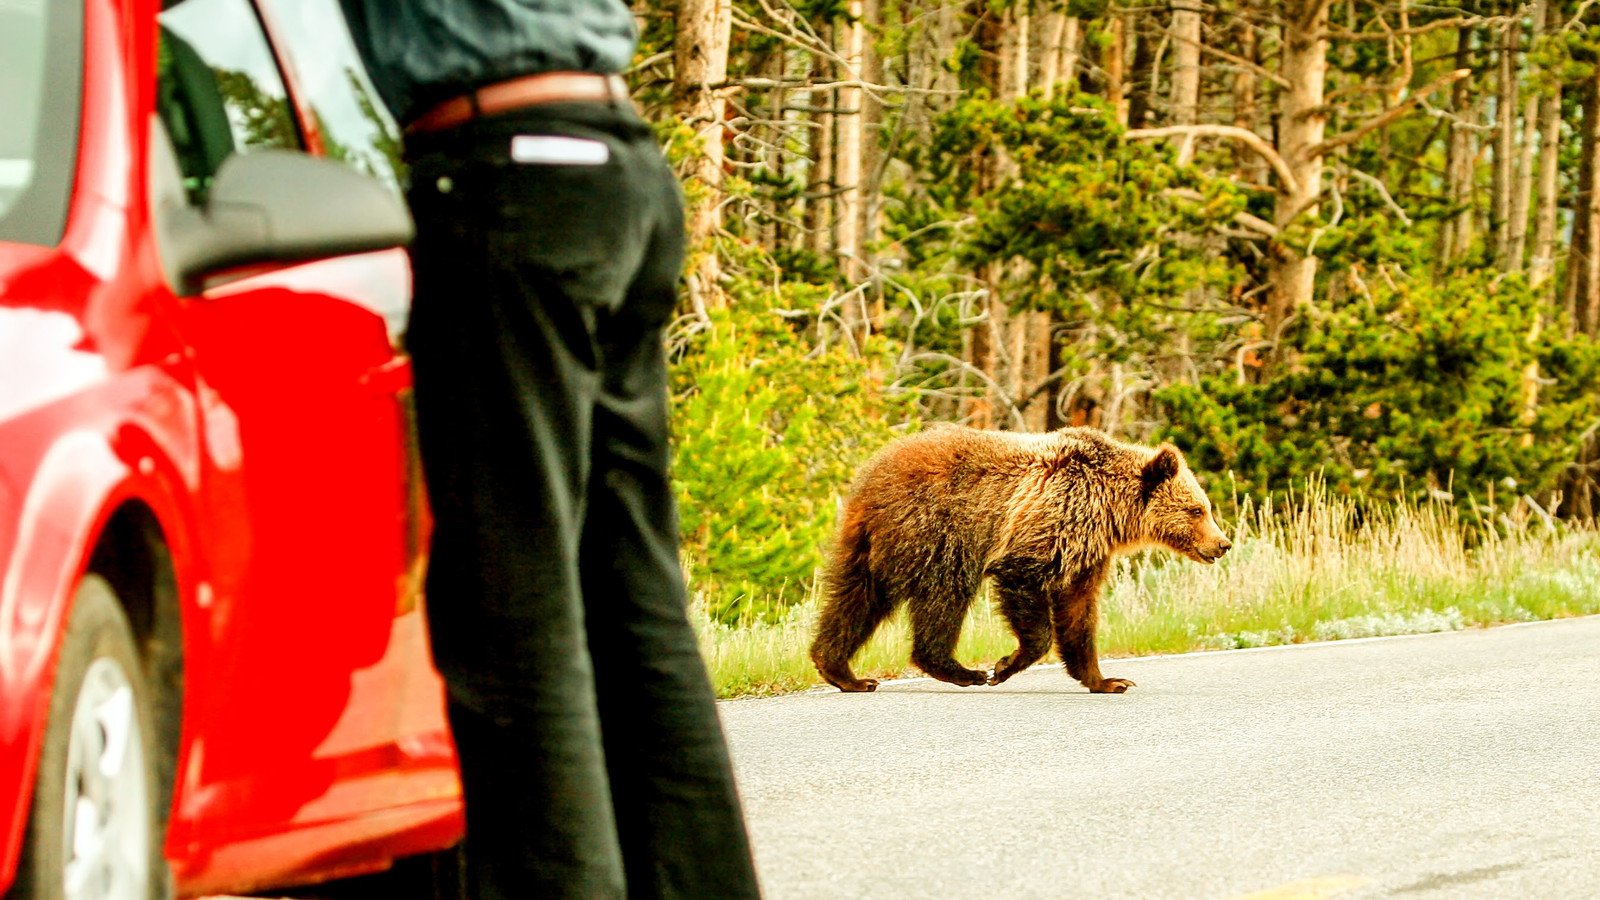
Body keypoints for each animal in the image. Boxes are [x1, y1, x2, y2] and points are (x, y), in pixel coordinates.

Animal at [809, 425, 1230, 693]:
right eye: (1197, 510)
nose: (1222, 543)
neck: (1109, 509)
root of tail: (871, 477)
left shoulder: (1088, 553)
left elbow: (1079, 613)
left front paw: (1108, 681)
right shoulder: (1049, 525)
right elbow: (1024, 585)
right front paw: (1005, 665)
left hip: (867, 547)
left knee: (854, 601)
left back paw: (844, 672)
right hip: (938, 535)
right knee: (943, 597)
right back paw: (963, 671)